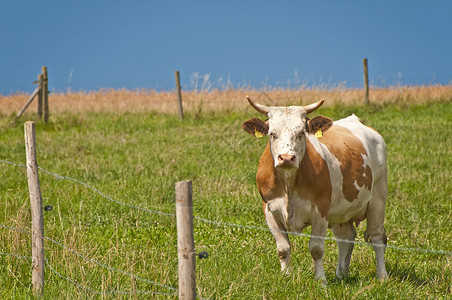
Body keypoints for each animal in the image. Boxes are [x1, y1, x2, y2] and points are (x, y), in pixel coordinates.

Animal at [242, 96, 386, 284]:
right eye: (272, 133)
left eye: (302, 133)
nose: (286, 158)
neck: (288, 184)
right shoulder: (269, 210)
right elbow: (283, 248)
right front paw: (285, 277)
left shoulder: (320, 211)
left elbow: (316, 249)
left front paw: (320, 280)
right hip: (341, 211)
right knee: (345, 238)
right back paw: (341, 275)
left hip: (378, 198)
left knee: (377, 237)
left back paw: (382, 276)